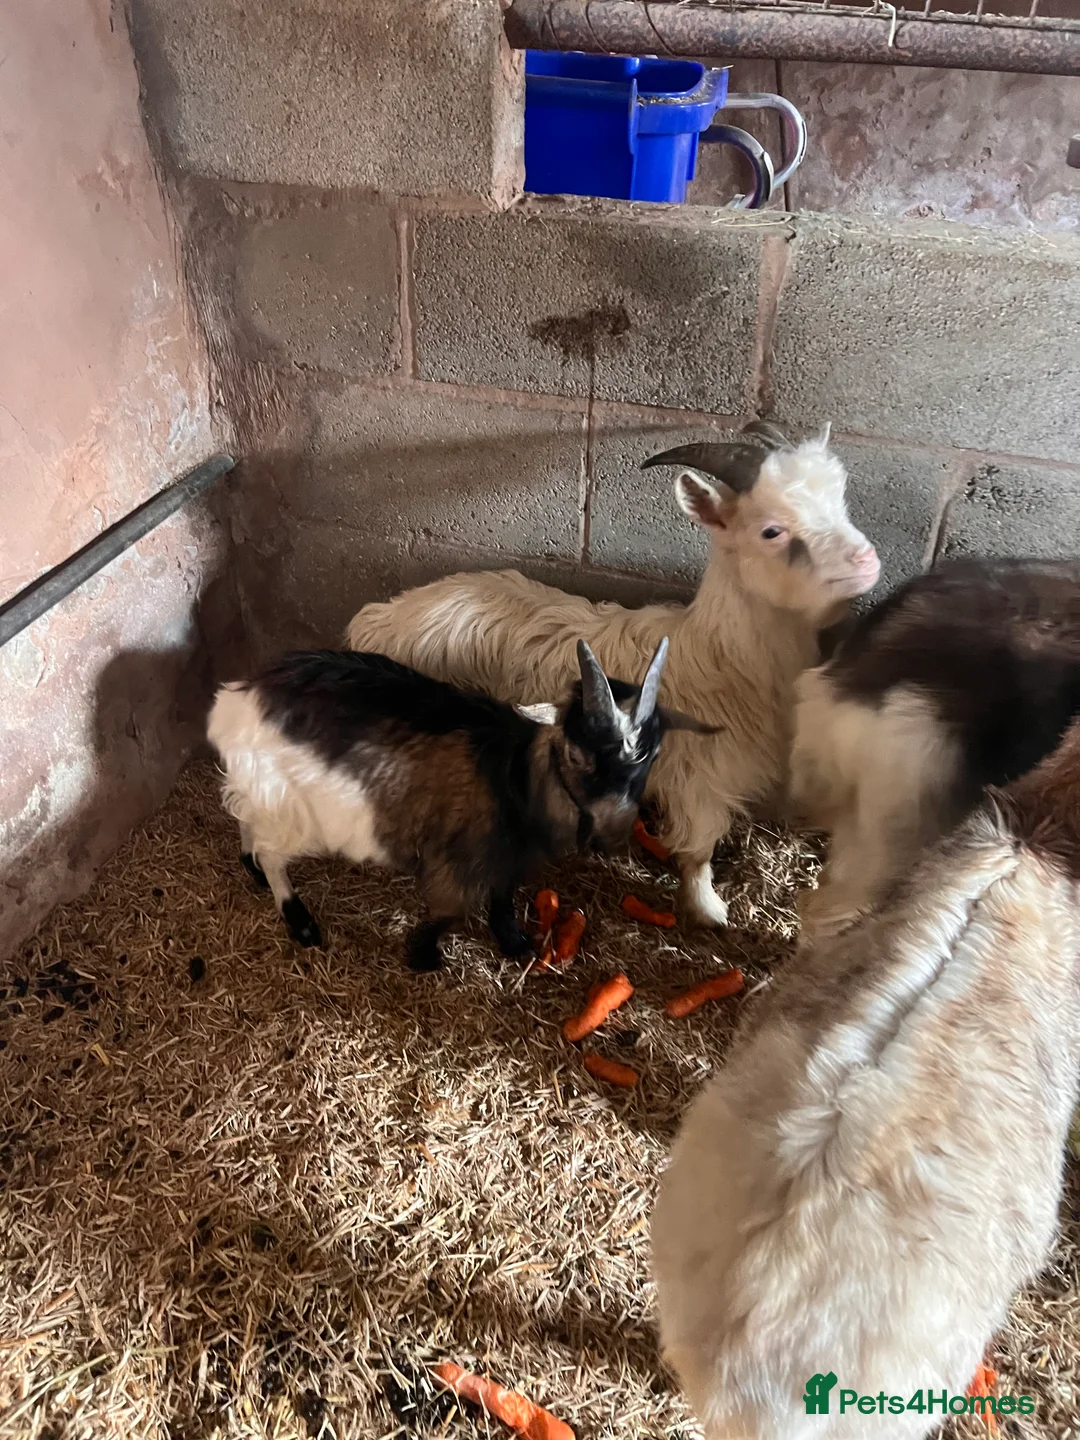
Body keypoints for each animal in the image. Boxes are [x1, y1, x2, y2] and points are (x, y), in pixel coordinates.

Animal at [207, 638, 710, 971]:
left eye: (653, 755)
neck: (515, 775)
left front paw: (514, 942)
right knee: (272, 851)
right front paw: (423, 955)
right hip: (290, 803)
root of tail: (238, 696)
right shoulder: (457, 861)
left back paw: (250, 867)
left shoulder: (507, 859)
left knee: (245, 818)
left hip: (262, 788)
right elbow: (450, 911)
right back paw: (300, 921)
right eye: (576, 753)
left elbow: (503, 898)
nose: (613, 833)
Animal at [346, 422, 879, 929]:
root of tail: (374, 620)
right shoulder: (700, 783)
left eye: (840, 500)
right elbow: (698, 852)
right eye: (772, 531)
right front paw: (708, 911)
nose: (868, 562)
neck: (726, 656)